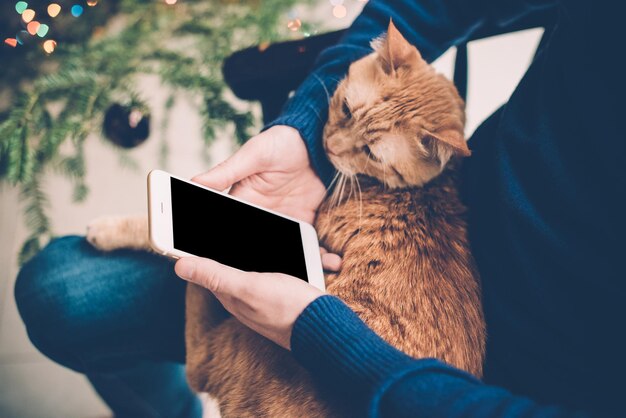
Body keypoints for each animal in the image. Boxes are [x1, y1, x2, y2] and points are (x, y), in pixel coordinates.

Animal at [88, 23, 486, 418]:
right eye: (345, 108)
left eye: (371, 153)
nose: (330, 147)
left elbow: (144, 226)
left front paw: (109, 228)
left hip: (234, 345)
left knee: (197, 357)